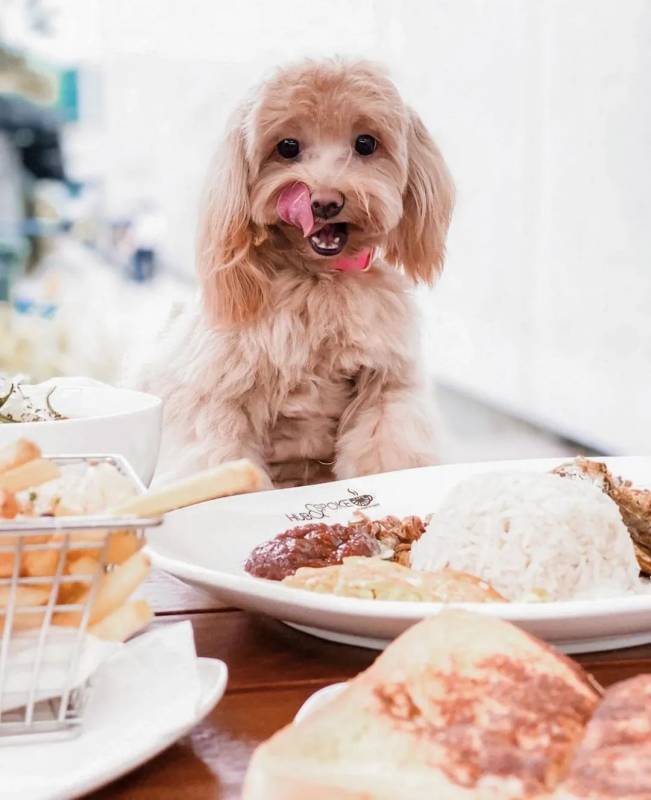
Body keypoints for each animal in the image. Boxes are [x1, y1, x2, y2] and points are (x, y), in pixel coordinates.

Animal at [138, 57, 454, 488]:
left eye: (365, 143)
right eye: (288, 147)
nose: (325, 202)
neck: (315, 281)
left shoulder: (388, 384)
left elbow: (387, 444)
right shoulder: (215, 397)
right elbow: (219, 458)